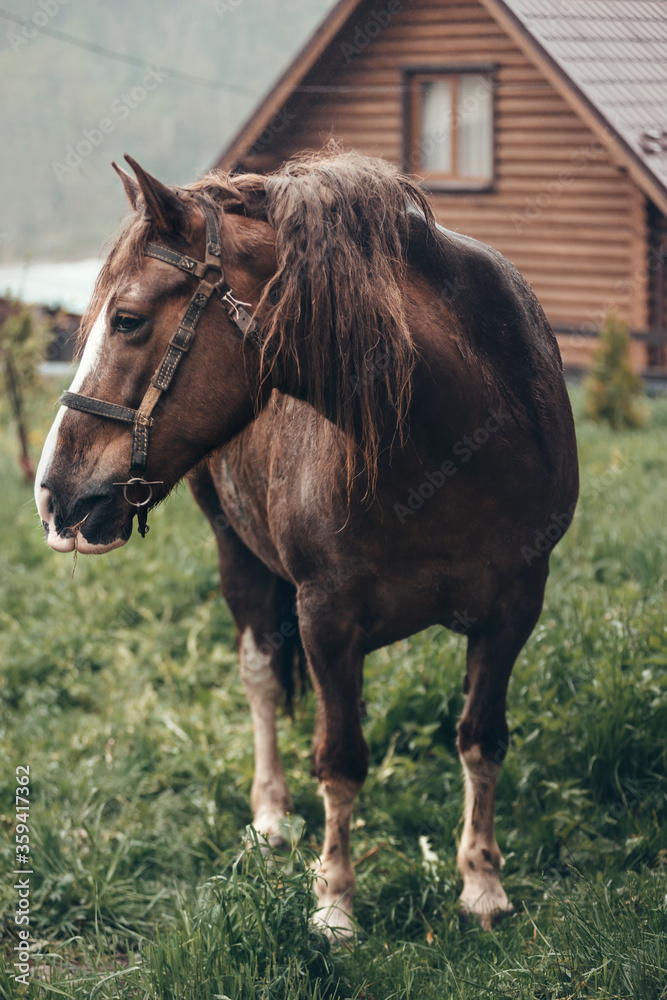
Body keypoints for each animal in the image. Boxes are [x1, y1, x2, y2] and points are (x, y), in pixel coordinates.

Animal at [34, 150, 578, 937]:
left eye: (127, 319)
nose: (53, 492)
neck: (456, 435)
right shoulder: (326, 617)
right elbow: (340, 758)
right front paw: (334, 902)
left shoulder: (515, 606)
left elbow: (481, 737)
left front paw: (480, 882)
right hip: (235, 552)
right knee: (261, 674)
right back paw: (270, 815)